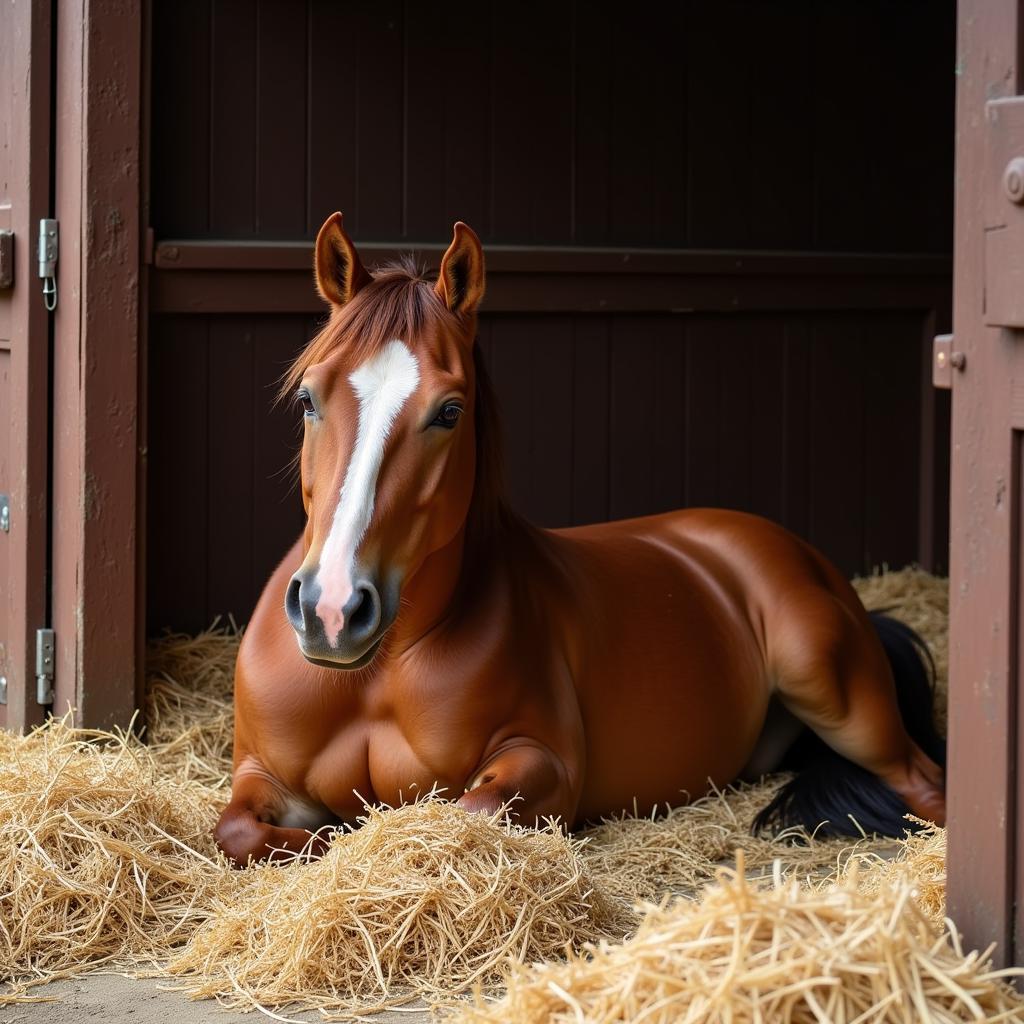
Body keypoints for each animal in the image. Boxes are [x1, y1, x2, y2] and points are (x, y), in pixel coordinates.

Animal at [211, 214, 946, 864]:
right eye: (309, 399)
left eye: (449, 412)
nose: (333, 610)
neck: (378, 672)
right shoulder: (262, 777)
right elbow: (237, 832)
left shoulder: (541, 762)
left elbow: (462, 811)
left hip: (836, 693)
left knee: (924, 784)